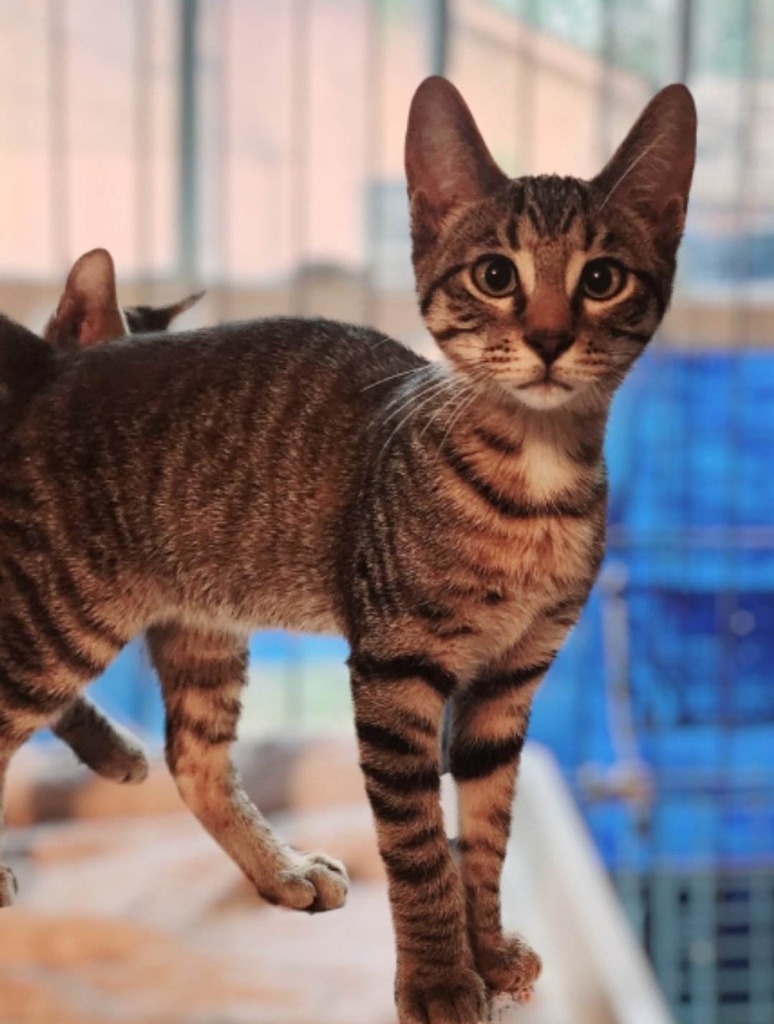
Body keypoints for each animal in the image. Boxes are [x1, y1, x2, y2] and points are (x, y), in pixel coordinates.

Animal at [0, 77, 696, 1024]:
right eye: (495, 275)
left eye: (601, 279)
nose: (551, 339)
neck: (531, 487)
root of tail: (49, 367)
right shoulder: (395, 667)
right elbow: (418, 842)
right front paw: (439, 978)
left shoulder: (511, 680)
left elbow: (485, 830)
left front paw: (487, 949)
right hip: (55, 618)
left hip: (202, 623)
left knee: (195, 760)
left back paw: (279, 869)